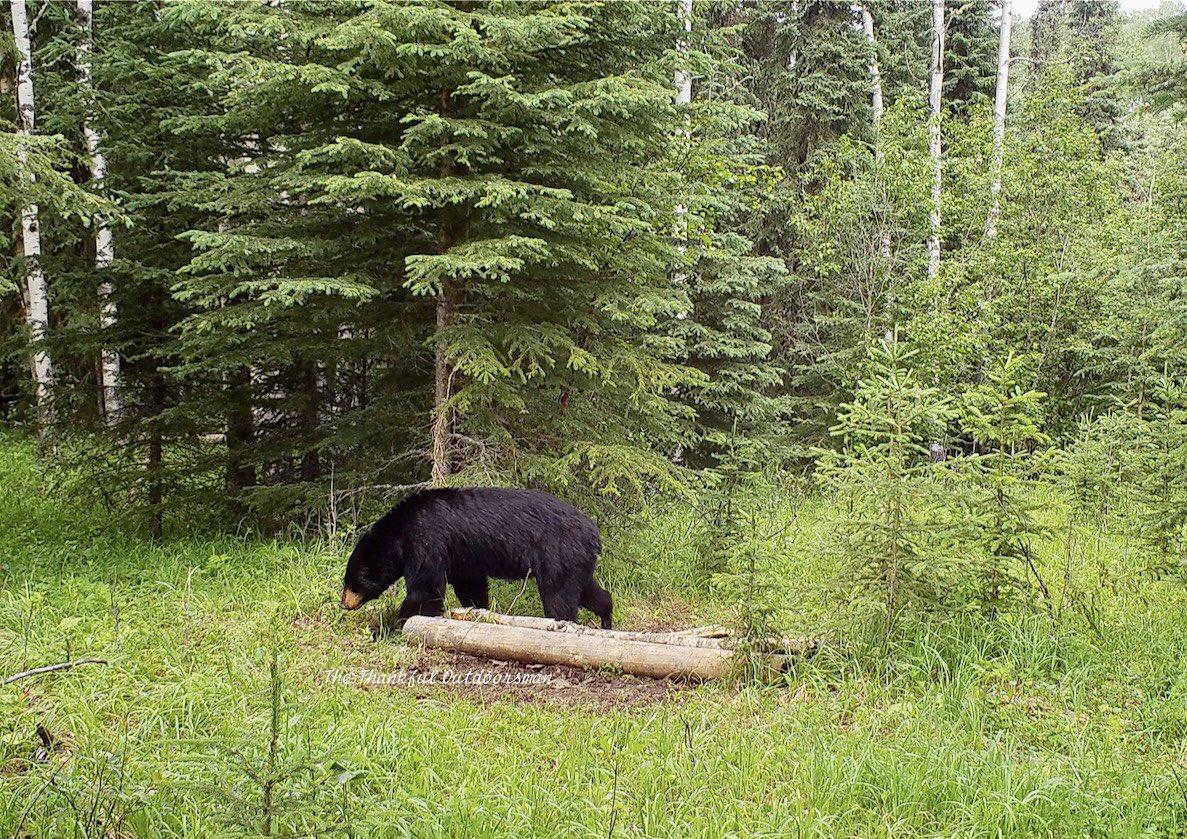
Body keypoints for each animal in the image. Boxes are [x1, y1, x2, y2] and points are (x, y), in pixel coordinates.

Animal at [339, 487, 614, 629]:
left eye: (351, 582)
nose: (344, 603)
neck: (401, 531)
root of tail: (594, 533)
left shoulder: (428, 540)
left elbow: (426, 589)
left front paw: (394, 625)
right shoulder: (463, 558)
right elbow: (470, 586)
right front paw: (478, 611)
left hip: (558, 553)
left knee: (559, 599)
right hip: (574, 561)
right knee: (588, 592)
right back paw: (606, 618)